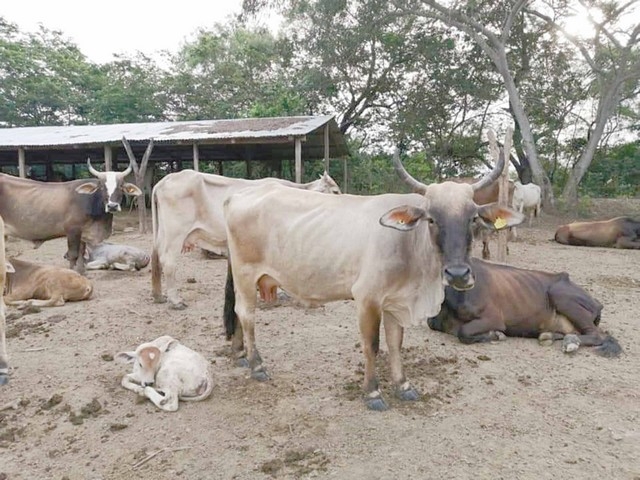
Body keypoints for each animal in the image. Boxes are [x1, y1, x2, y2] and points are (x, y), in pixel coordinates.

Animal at [0, 159, 141, 274]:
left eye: (121, 186)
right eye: (101, 187)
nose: (112, 206)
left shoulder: (83, 233)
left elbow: (81, 254)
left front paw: (82, 273)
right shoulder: (73, 230)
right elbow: (73, 255)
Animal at [152, 171, 342, 310]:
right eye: (335, 191)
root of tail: (165, 180)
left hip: (163, 232)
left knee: (156, 255)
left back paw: (158, 295)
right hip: (176, 232)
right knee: (168, 261)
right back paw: (176, 301)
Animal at [222, 147, 524, 408]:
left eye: (472, 218)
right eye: (431, 219)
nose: (458, 273)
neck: (408, 245)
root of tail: (238, 196)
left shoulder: (396, 301)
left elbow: (395, 343)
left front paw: (404, 386)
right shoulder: (367, 298)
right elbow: (373, 345)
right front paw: (373, 392)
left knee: (237, 313)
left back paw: (240, 355)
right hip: (246, 272)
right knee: (246, 314)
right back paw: (257, 365)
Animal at [428, 258, 624, 356]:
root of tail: (597, 303)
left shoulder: (493, 318)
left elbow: (464, 332)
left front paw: (496, 335)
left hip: (560, 294)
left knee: (597, 335)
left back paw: (571, 342)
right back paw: (550, 336)